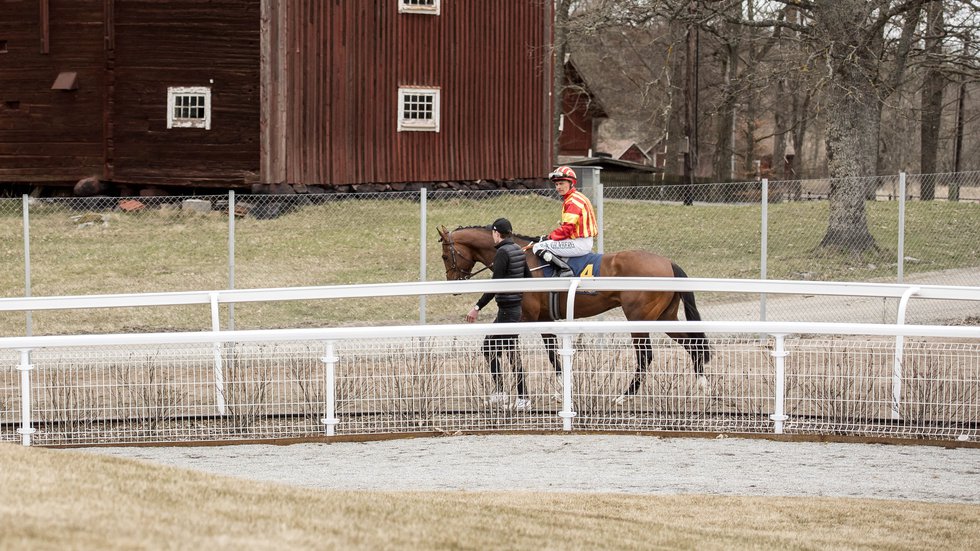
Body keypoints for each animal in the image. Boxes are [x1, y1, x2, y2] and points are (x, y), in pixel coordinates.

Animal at [438, 224, 712, 402]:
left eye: (444, 256)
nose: (453, 283)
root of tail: (668, 262)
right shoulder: (543, 319)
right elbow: (551, 355)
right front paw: (560, 390)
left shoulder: (523, 317)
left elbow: (506, 351)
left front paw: (518, 395)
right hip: (665, 316)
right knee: (693, 344)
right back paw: (703, 385)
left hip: (640, 319)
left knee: (645, 356)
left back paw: (624, 396)